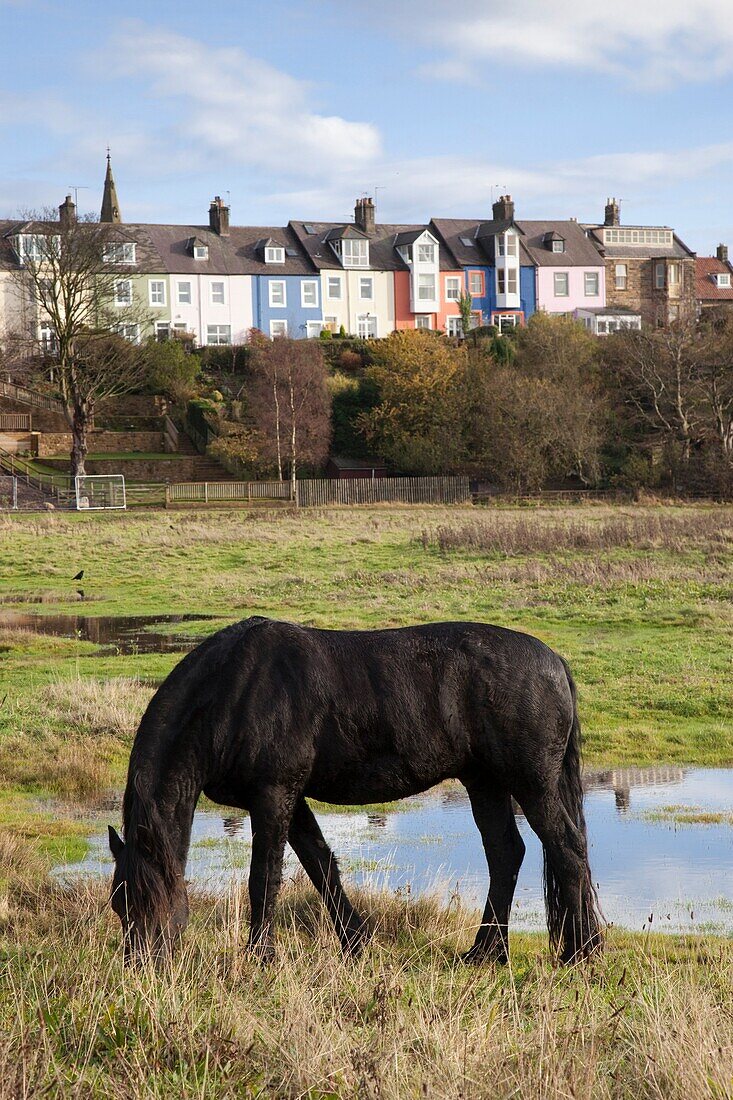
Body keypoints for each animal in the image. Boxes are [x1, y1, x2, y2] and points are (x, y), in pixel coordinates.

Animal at [107, 620, 598, 963]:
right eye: (119, 905)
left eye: (147, 899)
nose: (141, 967)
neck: (232, 690)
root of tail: (554, 661)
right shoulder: (291, 799)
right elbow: (321, 866)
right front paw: (355, 944)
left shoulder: (273, 795)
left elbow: (264, 877)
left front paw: (259, 956)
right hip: (485, 782)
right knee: (506, 854)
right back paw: (484, 954)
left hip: (532, 784)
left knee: (567, 849)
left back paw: (580, 954)